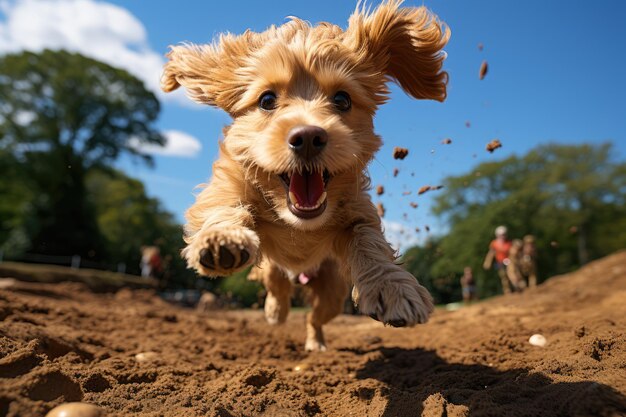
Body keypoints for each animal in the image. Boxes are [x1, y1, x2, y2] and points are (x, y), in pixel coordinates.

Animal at [161, 0, 448, 352]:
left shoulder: (358, 211)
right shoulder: (230, 182)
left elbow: (369, 242)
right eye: (267, 100)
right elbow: (222, 205)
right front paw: (221, 238)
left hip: (332, 290)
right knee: (278, 288)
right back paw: (275, 311)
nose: (308, 136)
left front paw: (393, 287)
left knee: (315, 317)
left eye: (342, 99)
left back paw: (315, 342)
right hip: (274, 269)